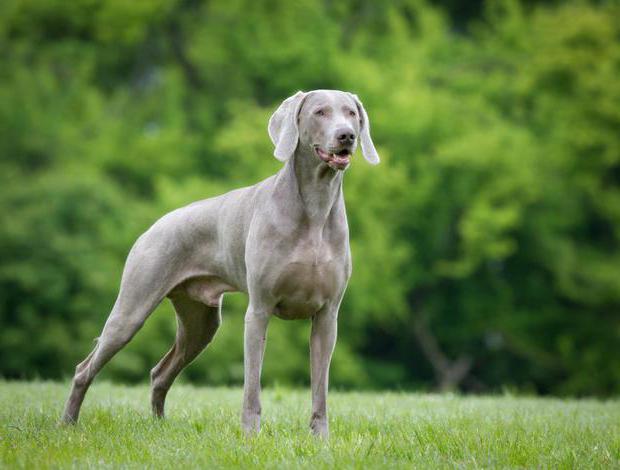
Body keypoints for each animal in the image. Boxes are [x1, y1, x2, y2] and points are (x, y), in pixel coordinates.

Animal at [64, 89, 382, 436]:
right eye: (320, 112)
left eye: (351, 113)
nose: (347, 135)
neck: (315, 206)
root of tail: (155, 225)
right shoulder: (259, 309)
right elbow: (252, 384)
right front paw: (251, 434)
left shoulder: (327, 315)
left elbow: (319, 388)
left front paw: (320, 438)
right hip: (132, 308)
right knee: (84, 368)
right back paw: (68, 423)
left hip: (201, 322)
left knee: (160, 373)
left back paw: (160, 426)